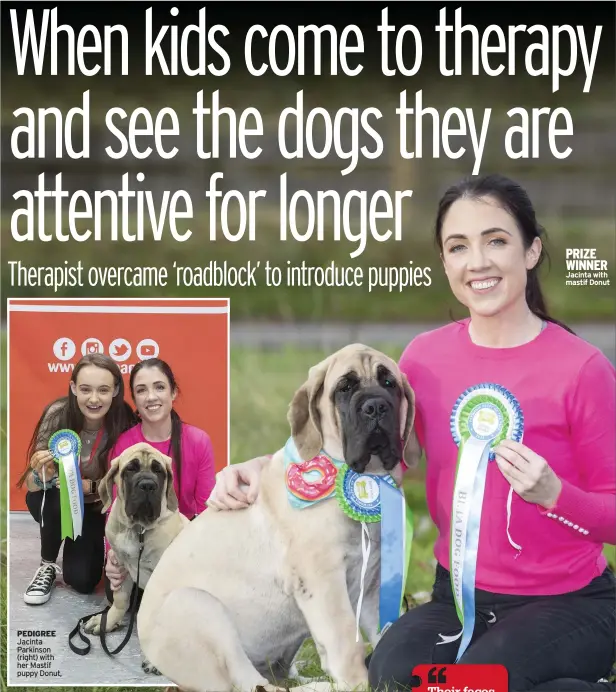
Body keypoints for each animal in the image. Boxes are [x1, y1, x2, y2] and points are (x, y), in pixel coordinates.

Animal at [83, 444, 188, 636]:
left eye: (158, 471)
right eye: (130, 469)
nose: (148, 485)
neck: (139, 529)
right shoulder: (121, 564)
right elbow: (120, 600)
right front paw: (107, 621)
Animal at [137, 346, 422, 692]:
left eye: (389, 382)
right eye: (345, 387)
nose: (376, 406)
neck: (366, 477)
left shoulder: (373, 581)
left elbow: (385, 631)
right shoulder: (323, 578)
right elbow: (344, 637)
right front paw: (358, 683)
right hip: (199, 608)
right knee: (249, 682)